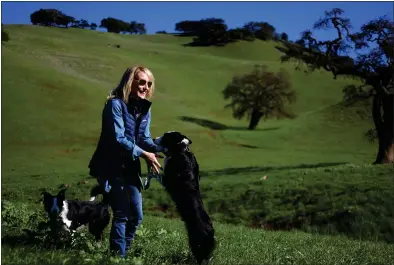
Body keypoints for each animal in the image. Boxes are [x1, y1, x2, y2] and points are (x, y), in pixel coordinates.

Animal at [153, 131, 215, 262]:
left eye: (165, 136)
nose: (153, 138)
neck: (180, 149)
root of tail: (211, 232)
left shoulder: (168, 181)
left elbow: (158, 174)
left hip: (196, 243)